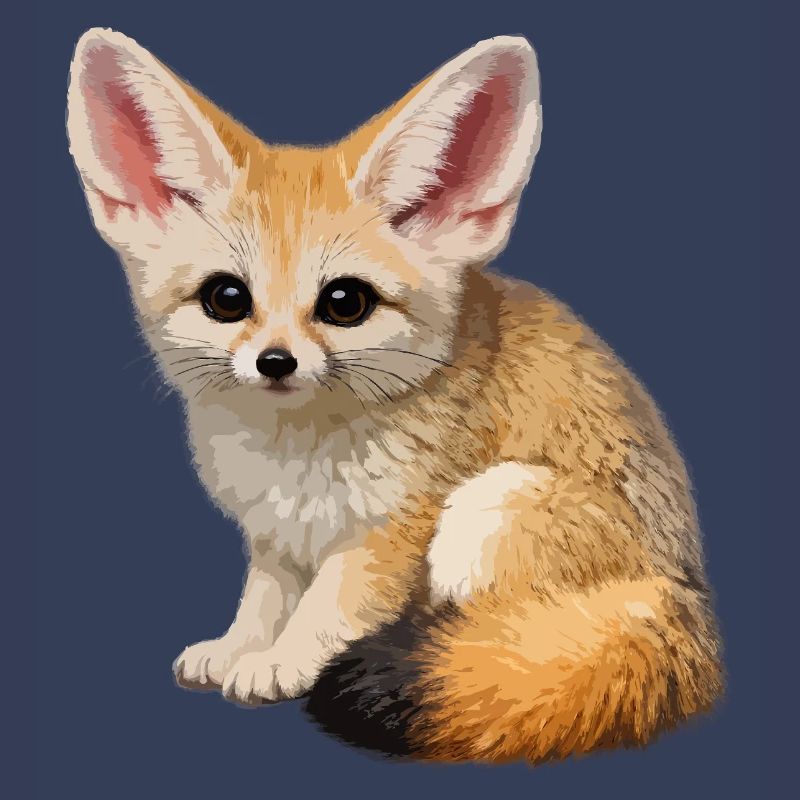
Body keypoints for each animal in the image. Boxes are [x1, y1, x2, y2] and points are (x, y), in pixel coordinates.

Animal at [66, 28, 723, 763]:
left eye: (344, 302)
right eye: (227, 298)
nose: (275, 362)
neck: (294, 454)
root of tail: (686, 594)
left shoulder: (389, 533)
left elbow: (328, 608)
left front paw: (282, 661)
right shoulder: (274, 537)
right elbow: (264, 600)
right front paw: (240, 647)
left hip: (487, 507)